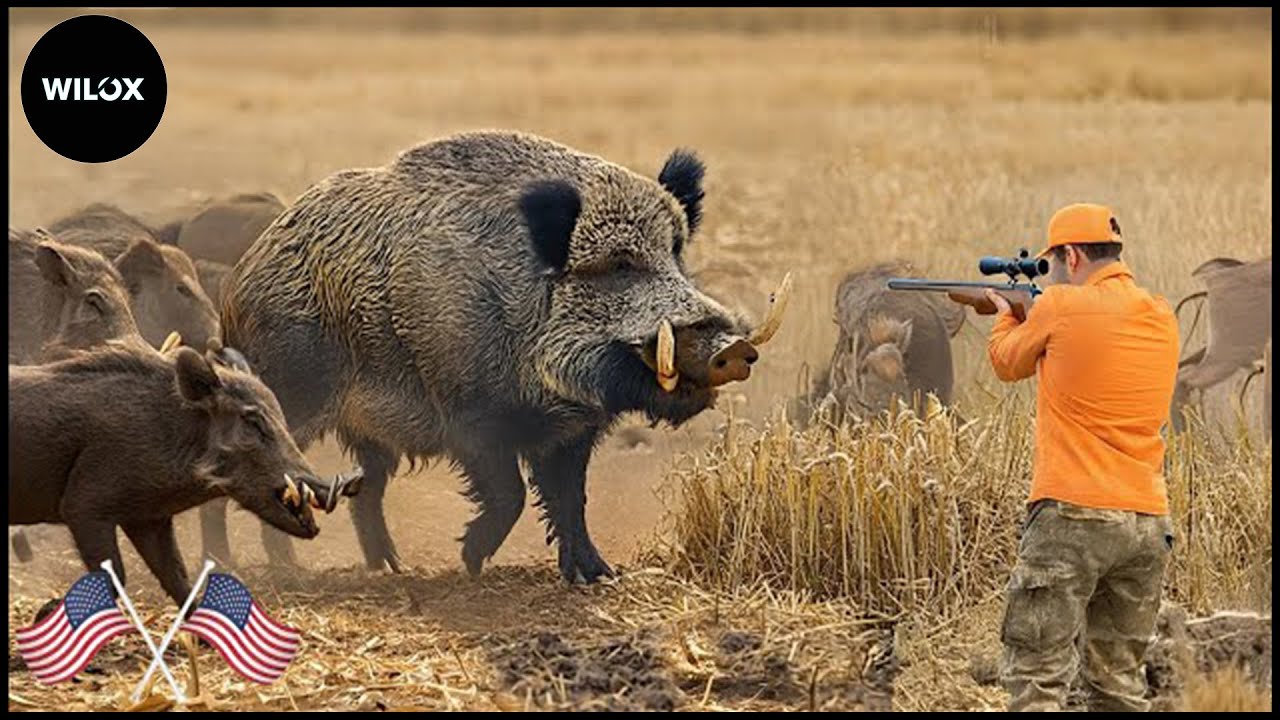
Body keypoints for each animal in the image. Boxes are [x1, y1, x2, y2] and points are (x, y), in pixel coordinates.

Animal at [220, 130, 790, 582]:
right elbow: (510, 494)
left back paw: (389, 568)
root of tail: (242, 276)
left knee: (370, 488)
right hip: (291, 392)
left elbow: (570, 500)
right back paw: (265, 568)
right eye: (618, 265)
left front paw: (599, 576)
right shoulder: (470, 418)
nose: (733, 346)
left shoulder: (574, 431)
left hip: (367, 431)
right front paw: (471, 562)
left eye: (675, 253)